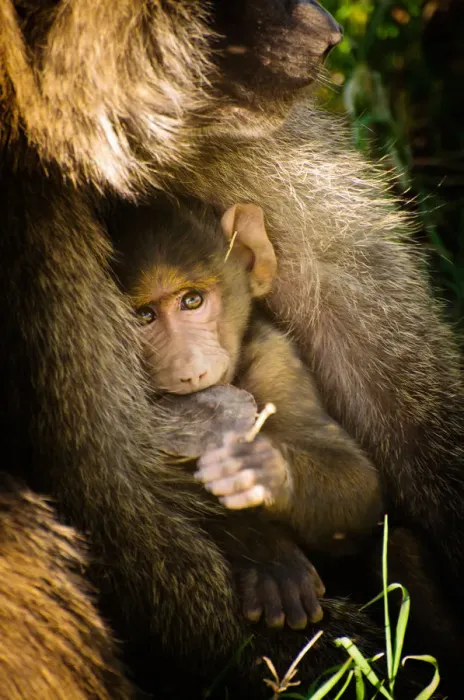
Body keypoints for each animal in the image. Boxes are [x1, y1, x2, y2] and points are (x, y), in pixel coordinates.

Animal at [1, 0, 463, 696]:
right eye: (144, 316)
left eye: (194, 302)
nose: (326, 32)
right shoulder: (36, 229)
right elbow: (124, 505)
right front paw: (266, 558)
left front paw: (262, 473)